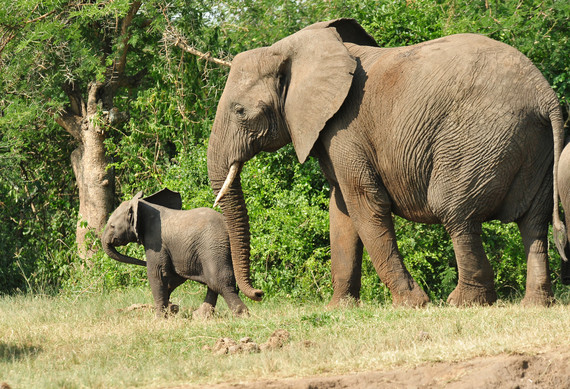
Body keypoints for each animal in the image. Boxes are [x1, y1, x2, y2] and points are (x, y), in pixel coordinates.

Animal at [101, 186, 247, 316]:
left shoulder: (156, 240)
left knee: (217, 280)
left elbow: (157, 273)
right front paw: (172, 309)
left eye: (112, 226)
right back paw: (202, 316)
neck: (142, 205)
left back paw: (242, 315)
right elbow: (174, 275)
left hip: (212, 245)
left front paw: (160, 318)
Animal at [206, 19, 564, 306]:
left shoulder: (344, 128)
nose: (259, 294)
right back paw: (535, 304)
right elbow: (341, 212)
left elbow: (365, 204)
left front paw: (412, 304)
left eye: (240, 111)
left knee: (456, 212)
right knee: (534, 222)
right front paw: (340, 309)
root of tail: (545, 95)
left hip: (479, 139)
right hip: (535, 147)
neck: (290, 49)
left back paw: (463, 302)